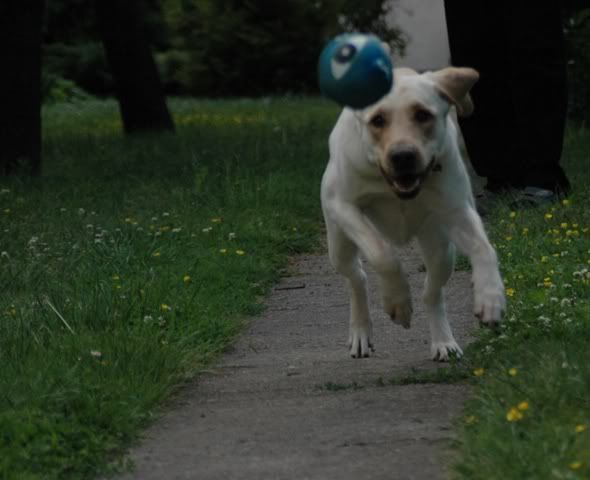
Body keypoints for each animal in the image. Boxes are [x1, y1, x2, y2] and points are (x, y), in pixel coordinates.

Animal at [320, 66, 506, 361]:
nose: (403, 156)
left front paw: (490, 297)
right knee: (357, 277)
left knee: (432, 291)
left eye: (423, 115)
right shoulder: (341, 204)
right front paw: (398, 301)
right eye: (378, 120)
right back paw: (361, 331)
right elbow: (381, 253)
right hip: (338, 245)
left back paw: (443, 341)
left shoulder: (456, 209)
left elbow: (483, 248)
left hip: (440, 247)